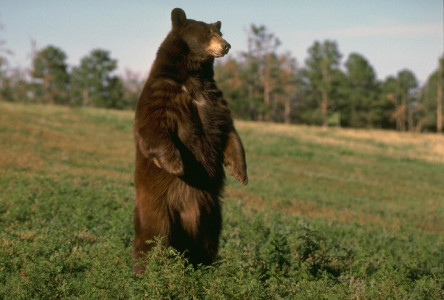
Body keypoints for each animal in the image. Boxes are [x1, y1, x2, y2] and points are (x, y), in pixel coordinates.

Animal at [132, 7, 250, 274]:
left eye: (220, 32)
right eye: (207, 33)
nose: (226, 45)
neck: (193, 77)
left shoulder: (214, 100)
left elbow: (228, 130)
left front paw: (240, 172)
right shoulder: (162, 93)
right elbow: (153, 126)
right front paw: (176, 164)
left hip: (212, 212)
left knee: (208, 240)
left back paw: (207, 267)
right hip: (159, 205)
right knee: (154, 236)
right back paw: (146, 270)